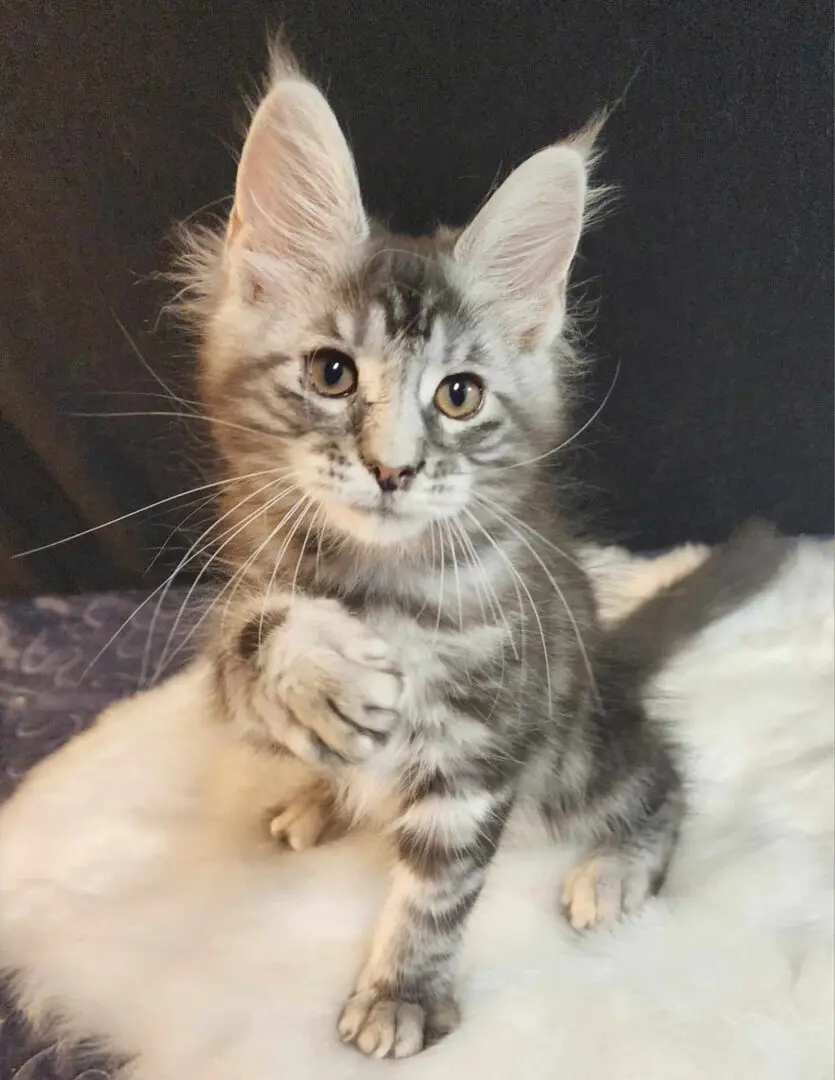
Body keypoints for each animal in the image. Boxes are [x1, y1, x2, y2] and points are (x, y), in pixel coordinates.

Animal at [176, 50, 773, 1062]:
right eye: (331, 373)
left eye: (458, 396)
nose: (393, 469)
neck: (381, 583)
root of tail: (611, 660)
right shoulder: (245, 597)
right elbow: (253, 645)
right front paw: (323, 674)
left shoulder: (485, 731)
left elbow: (436, 883)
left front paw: (400, 994)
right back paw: (322, 793)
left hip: (574, 749)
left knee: (658, 776)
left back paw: (617, 867)